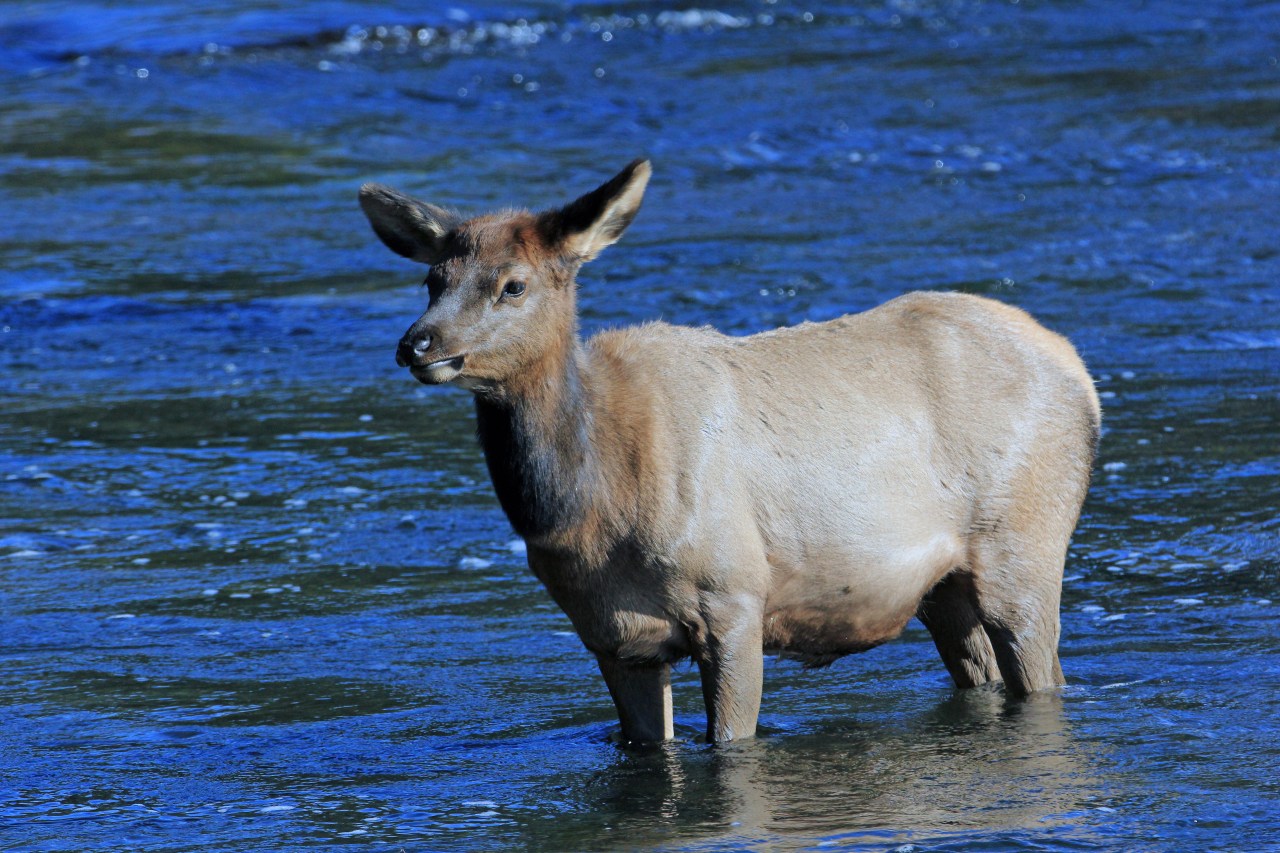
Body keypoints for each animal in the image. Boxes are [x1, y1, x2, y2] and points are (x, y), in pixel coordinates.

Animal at [358, 160, 1100, 744]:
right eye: (432, 280)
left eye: (513, 284)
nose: (418, 343)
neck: (586, 510)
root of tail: (1080, 372)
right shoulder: (612, 635)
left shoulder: (733, 597)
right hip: (943, 588)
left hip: (1024, 547)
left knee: (1044, 672)